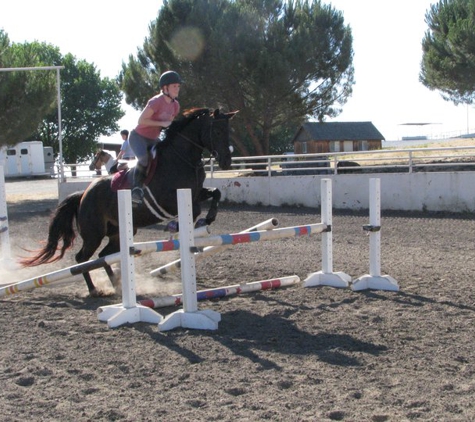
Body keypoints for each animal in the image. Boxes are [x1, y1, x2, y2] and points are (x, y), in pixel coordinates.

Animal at [22, 107, 238, 296]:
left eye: (229, 131)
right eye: (217, 131)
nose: (227, 161)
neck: (183, 158)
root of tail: (83, 195)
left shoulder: (196, 192)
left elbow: (216, 193)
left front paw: (206, 220)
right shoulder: (168, 200)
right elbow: (194, 209)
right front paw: (177, 225)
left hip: (118, 233)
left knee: (103, 257)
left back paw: (117, 285)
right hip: (94, 234)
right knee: (82, 258)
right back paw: (94, 290)